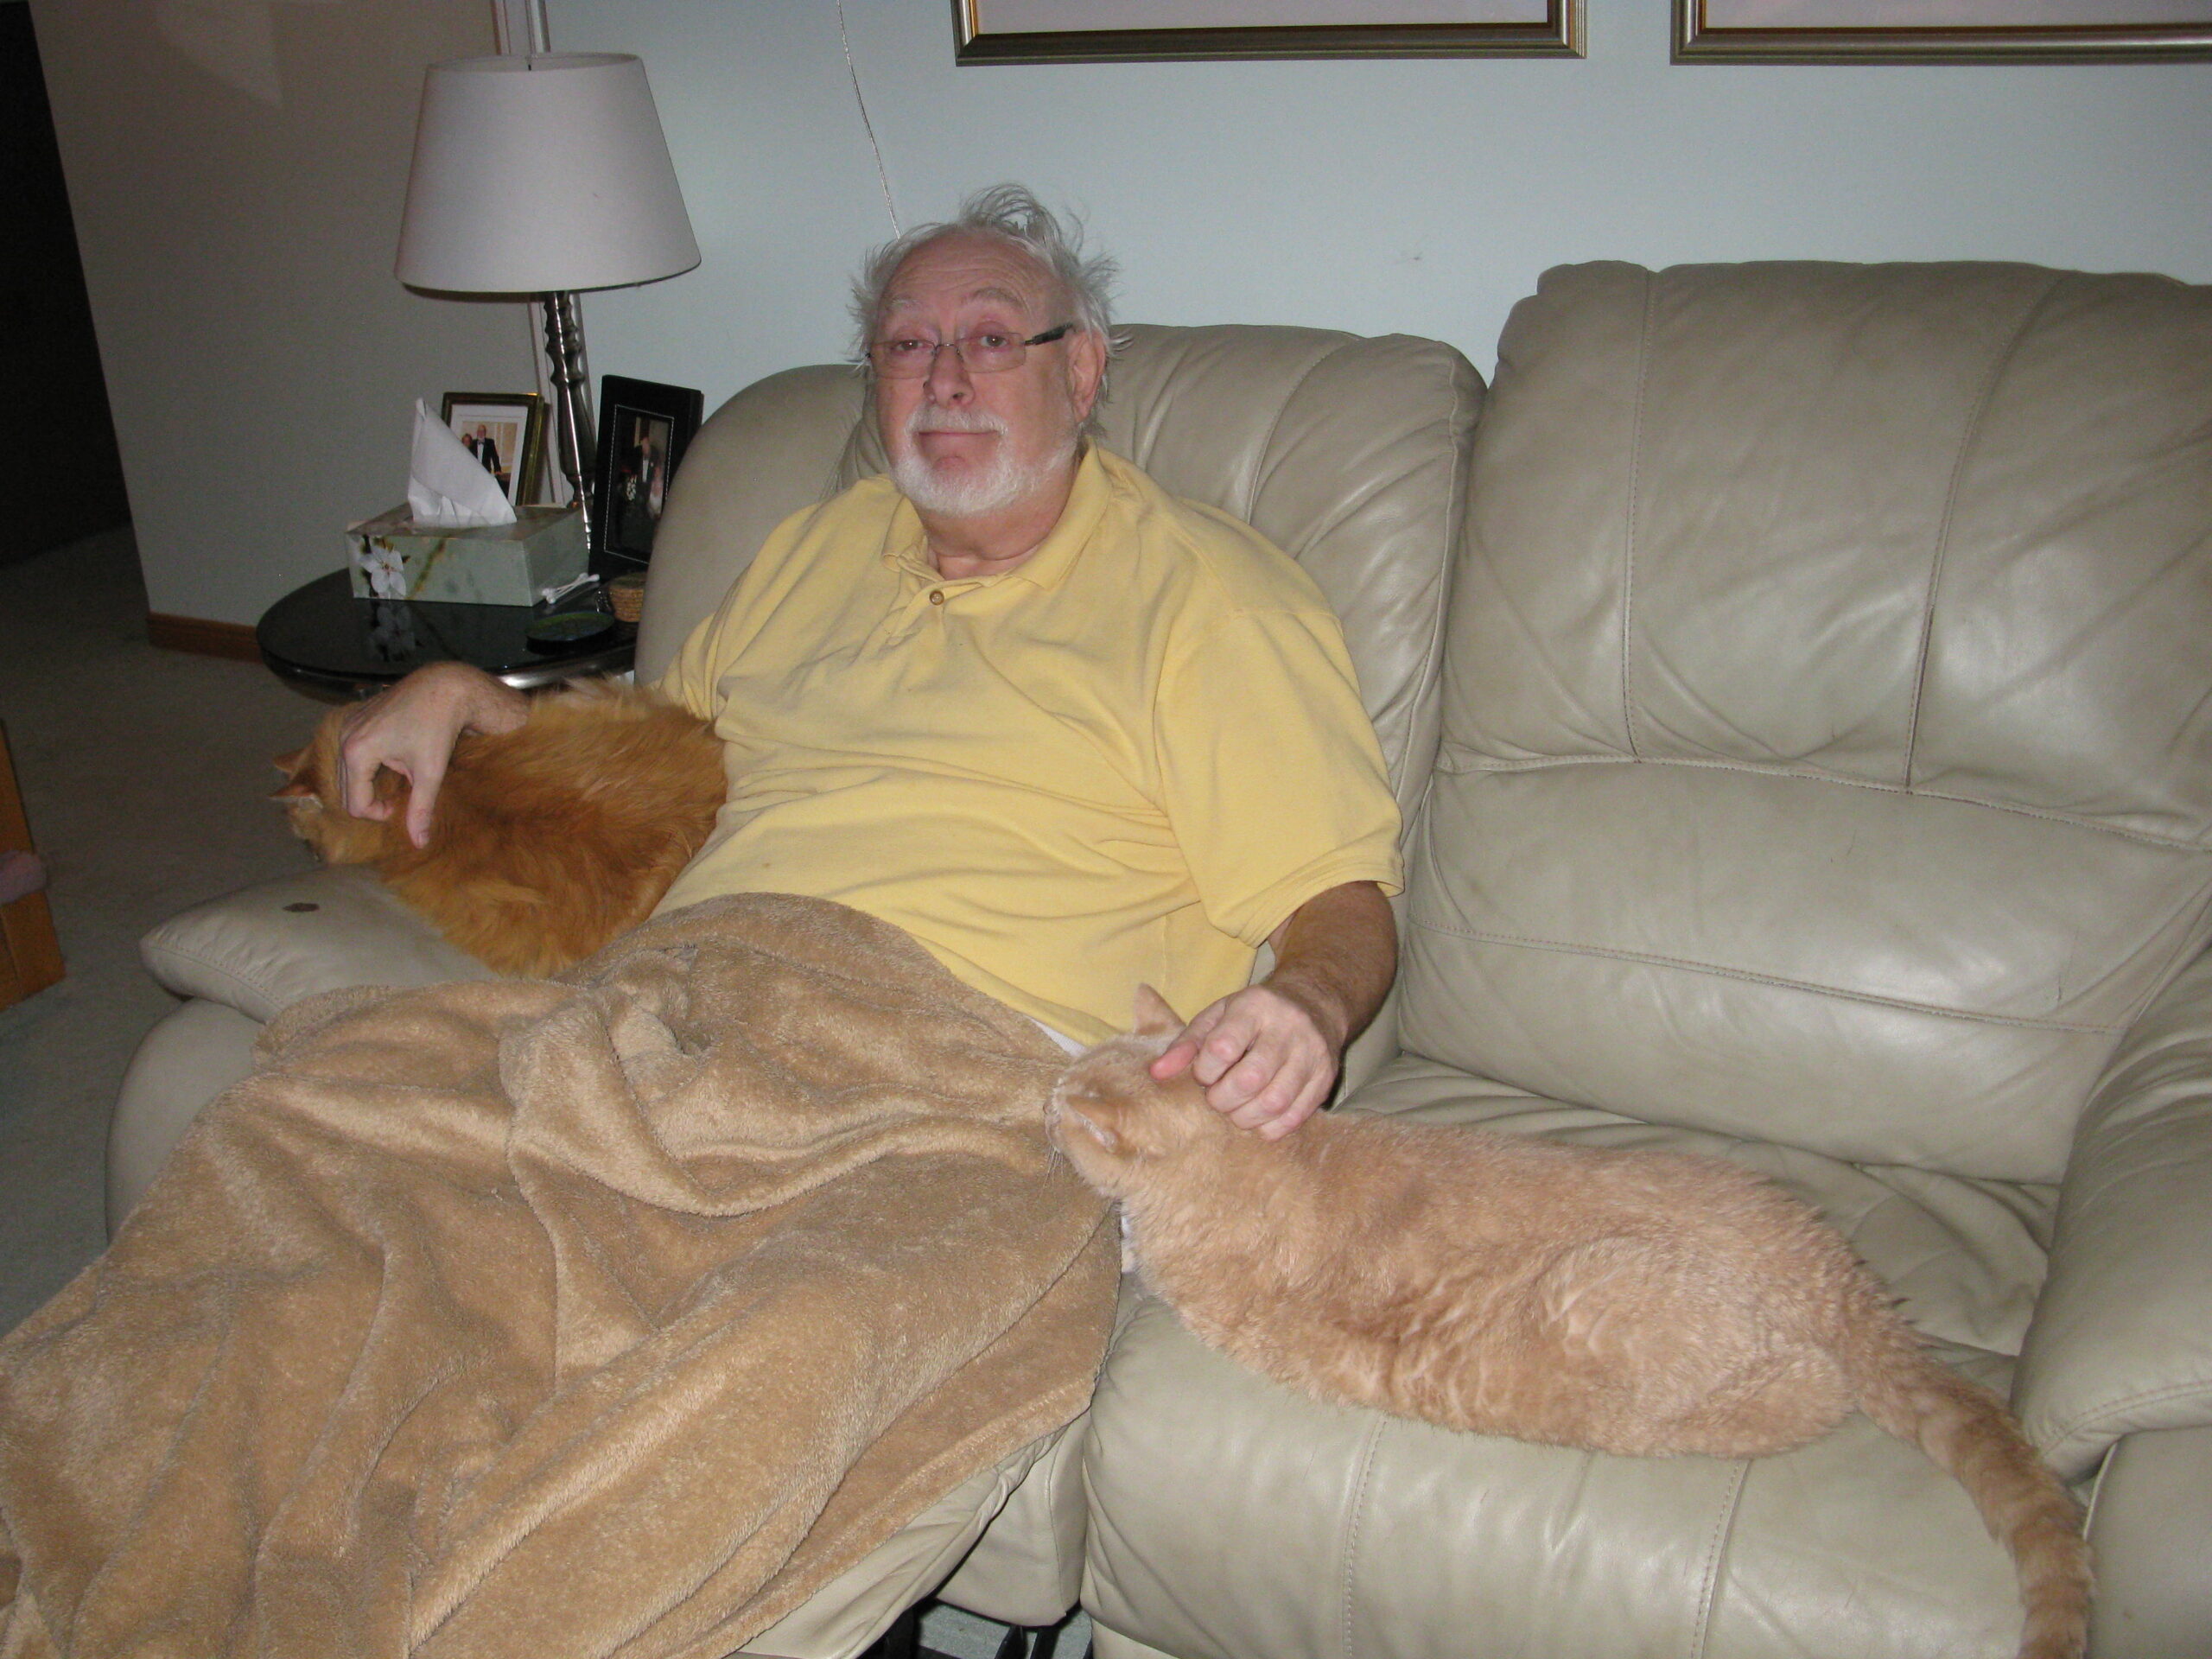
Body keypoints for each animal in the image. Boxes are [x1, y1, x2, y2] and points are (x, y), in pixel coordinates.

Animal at [1047, 986, 2091, 1659]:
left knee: (1808, 1395)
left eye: (1062, 1107)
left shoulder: (1195, 1283)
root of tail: (1839, 1280)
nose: (1044, 1101)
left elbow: (1143, 1257)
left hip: (1620, 1310)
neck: (1249, 1158)